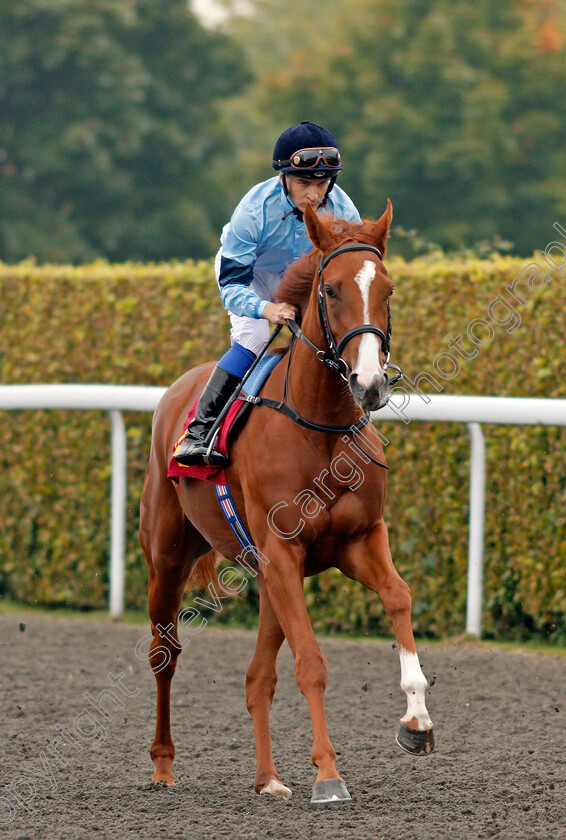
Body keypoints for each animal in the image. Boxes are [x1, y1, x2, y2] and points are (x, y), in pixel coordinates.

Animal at [141, 200, 434, 804]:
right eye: (332, 291)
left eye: (387, 289)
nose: (370, 384)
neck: (320, 427)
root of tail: (178, 390)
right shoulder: (283, 550)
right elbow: (312, 664)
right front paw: (328, 774)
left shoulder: (358, 540)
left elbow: (398, 596)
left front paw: (417, 721)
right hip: (169, 559)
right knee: (165, 655)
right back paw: (163, 767)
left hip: (269, 575)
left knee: (258, 677)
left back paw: (269, 779)